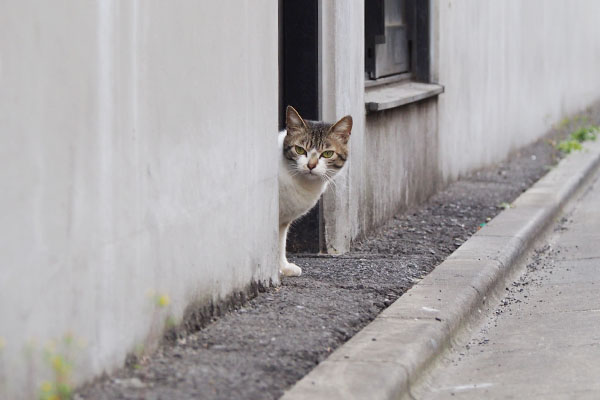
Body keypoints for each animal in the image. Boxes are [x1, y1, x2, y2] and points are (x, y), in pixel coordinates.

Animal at [278, 104, 352, 276]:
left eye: (328, 153)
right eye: (299, 150)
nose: (311, 165)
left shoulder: (283, 219)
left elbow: (280, 242)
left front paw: (283, 267)